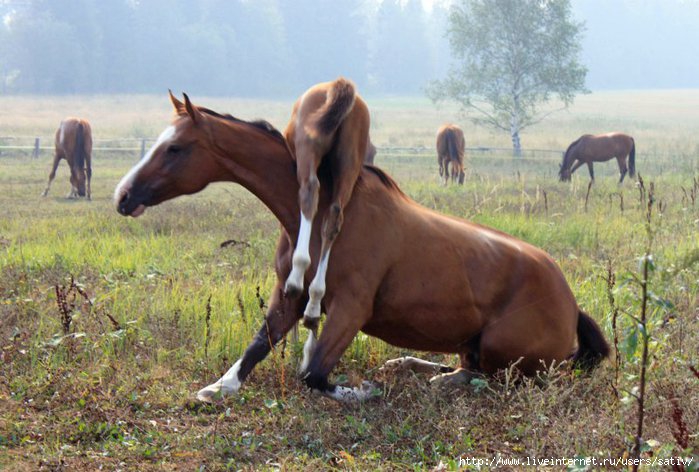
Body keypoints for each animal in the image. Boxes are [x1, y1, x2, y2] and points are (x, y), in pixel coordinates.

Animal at [284, 78, 374, 332]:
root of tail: (336, 84)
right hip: (349, 165)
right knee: (334, 216)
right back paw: (314, 302)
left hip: (307, 151)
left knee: (309, 192)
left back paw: (296, 278)